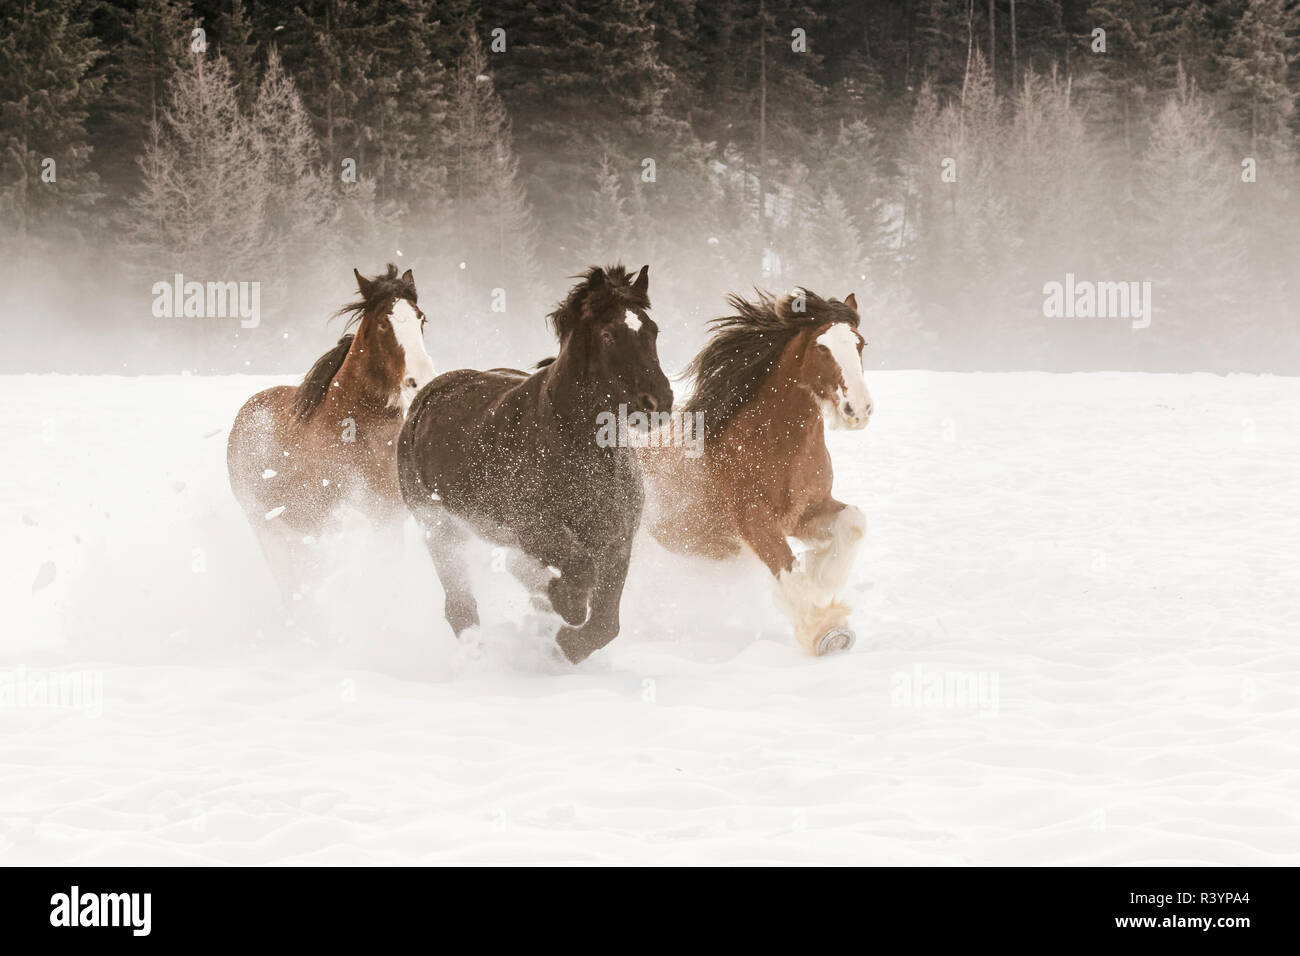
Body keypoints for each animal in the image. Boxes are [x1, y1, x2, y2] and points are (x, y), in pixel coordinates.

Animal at [228, 261, 436, 606]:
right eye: (383, 322)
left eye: (422, 318)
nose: (419, 380)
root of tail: (245, 412)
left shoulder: (388, 519)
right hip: (270, 532)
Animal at [397, 265, 670, 660]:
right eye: (607, 334)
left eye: (653, 330)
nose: (658, 402)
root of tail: (427, 395)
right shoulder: (535, 528)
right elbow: (579, 575)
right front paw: (563, 609)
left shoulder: (617, 540)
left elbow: (605, 625)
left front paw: (565, 643)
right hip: (438, 527)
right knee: (460, 605)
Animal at [639, 287, 873, 655]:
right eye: (822, 347)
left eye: (860, 344)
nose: (858, 410)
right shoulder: (752, 519)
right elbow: (787, 569)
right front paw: (824, 630)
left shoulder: (805, 513)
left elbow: (854, 523)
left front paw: (822, 579)